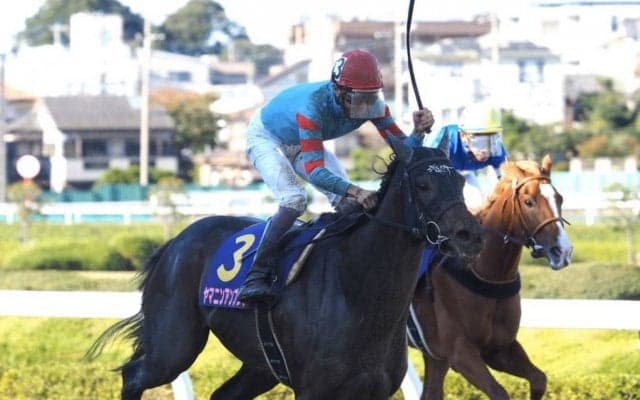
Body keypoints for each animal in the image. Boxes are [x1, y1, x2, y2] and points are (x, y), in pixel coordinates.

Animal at [86, 137, 484, 400]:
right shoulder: (313, 390)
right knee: (135, 375)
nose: (470, 235)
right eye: (423, 183)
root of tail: (174, 242)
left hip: (261, 364)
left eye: (460, 180)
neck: (358, 289)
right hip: (174, 344)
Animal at [409, 155, 573, 400]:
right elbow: (499, 392)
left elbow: (539, 380)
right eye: (529, 202)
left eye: (559, 198)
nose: (563, 251)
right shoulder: (461, 352)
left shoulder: (499, 348)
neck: (489, 275)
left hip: (434, 355)